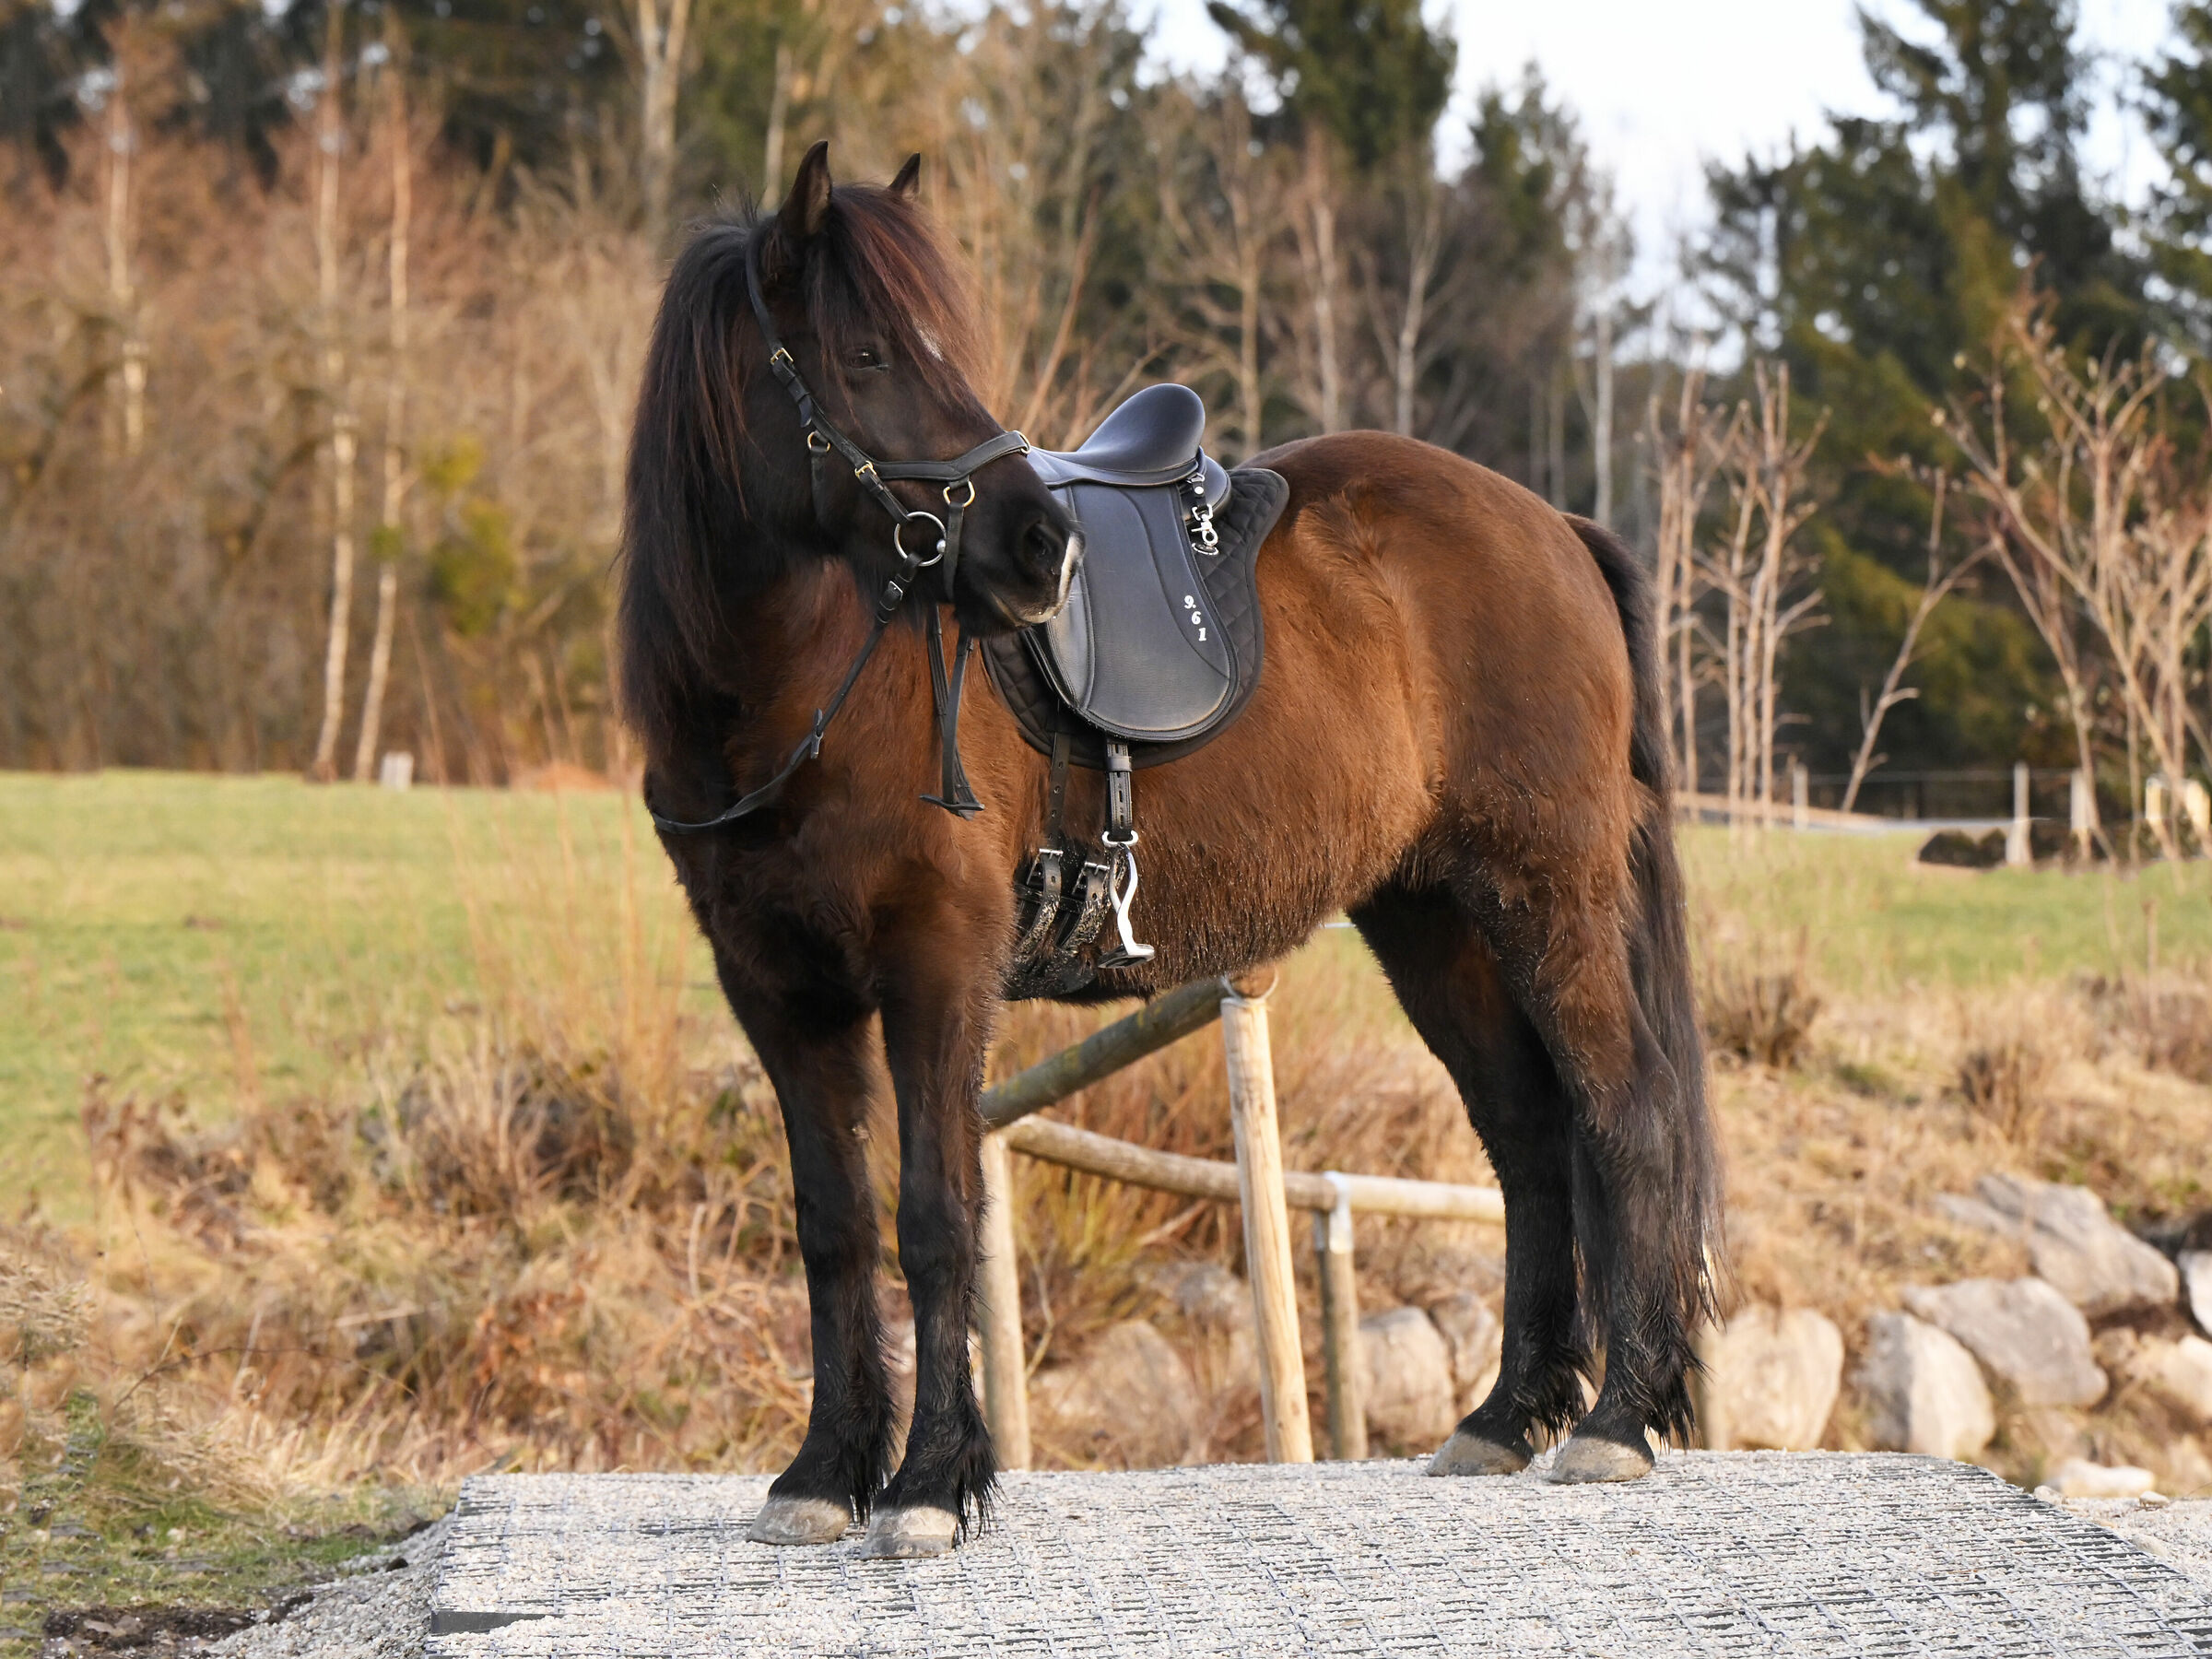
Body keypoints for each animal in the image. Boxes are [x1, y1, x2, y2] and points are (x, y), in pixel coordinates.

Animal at [617, 140, 1725, 1559]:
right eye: (863, 355)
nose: (1038, 548)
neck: (801, 691)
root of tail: (1554, 529)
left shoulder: (936, 969)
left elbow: (936, 1219)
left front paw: (931, 1485)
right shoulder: (778, 992)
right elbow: (834, 1227)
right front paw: (824, 1471)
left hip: (1547, 897)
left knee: (1624, 1111)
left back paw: (1619, 1422)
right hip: (1434, 919)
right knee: (1529, 1137)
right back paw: (1504, 1416)